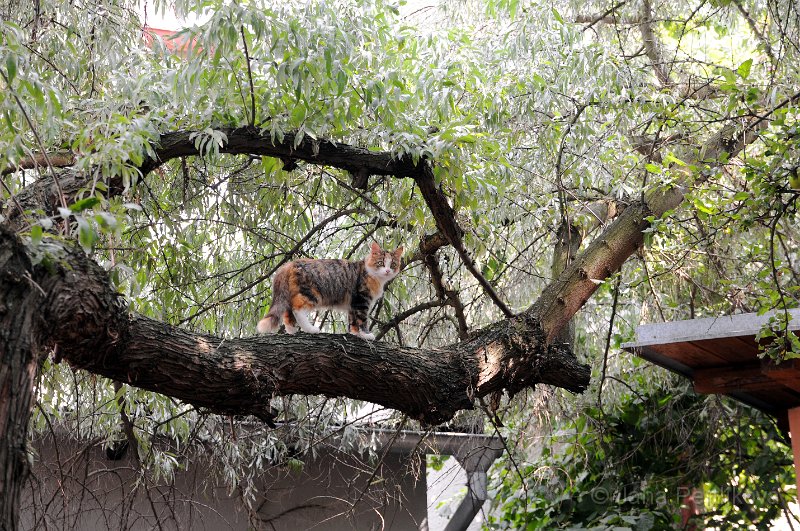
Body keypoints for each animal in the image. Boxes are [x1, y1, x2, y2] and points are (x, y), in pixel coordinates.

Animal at [258, 242, 404, 340]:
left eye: (392, 265)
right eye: (381, 263)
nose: (387, 271)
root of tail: (289, 264)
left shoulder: (353, 304)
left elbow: (353, 321)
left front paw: (355, 333)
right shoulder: (362, 300)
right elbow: (362, 320)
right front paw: (366, 334)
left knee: (287, 313)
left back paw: (292, 330)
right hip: (311, 294)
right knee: (297, 310)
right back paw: (311, 329)